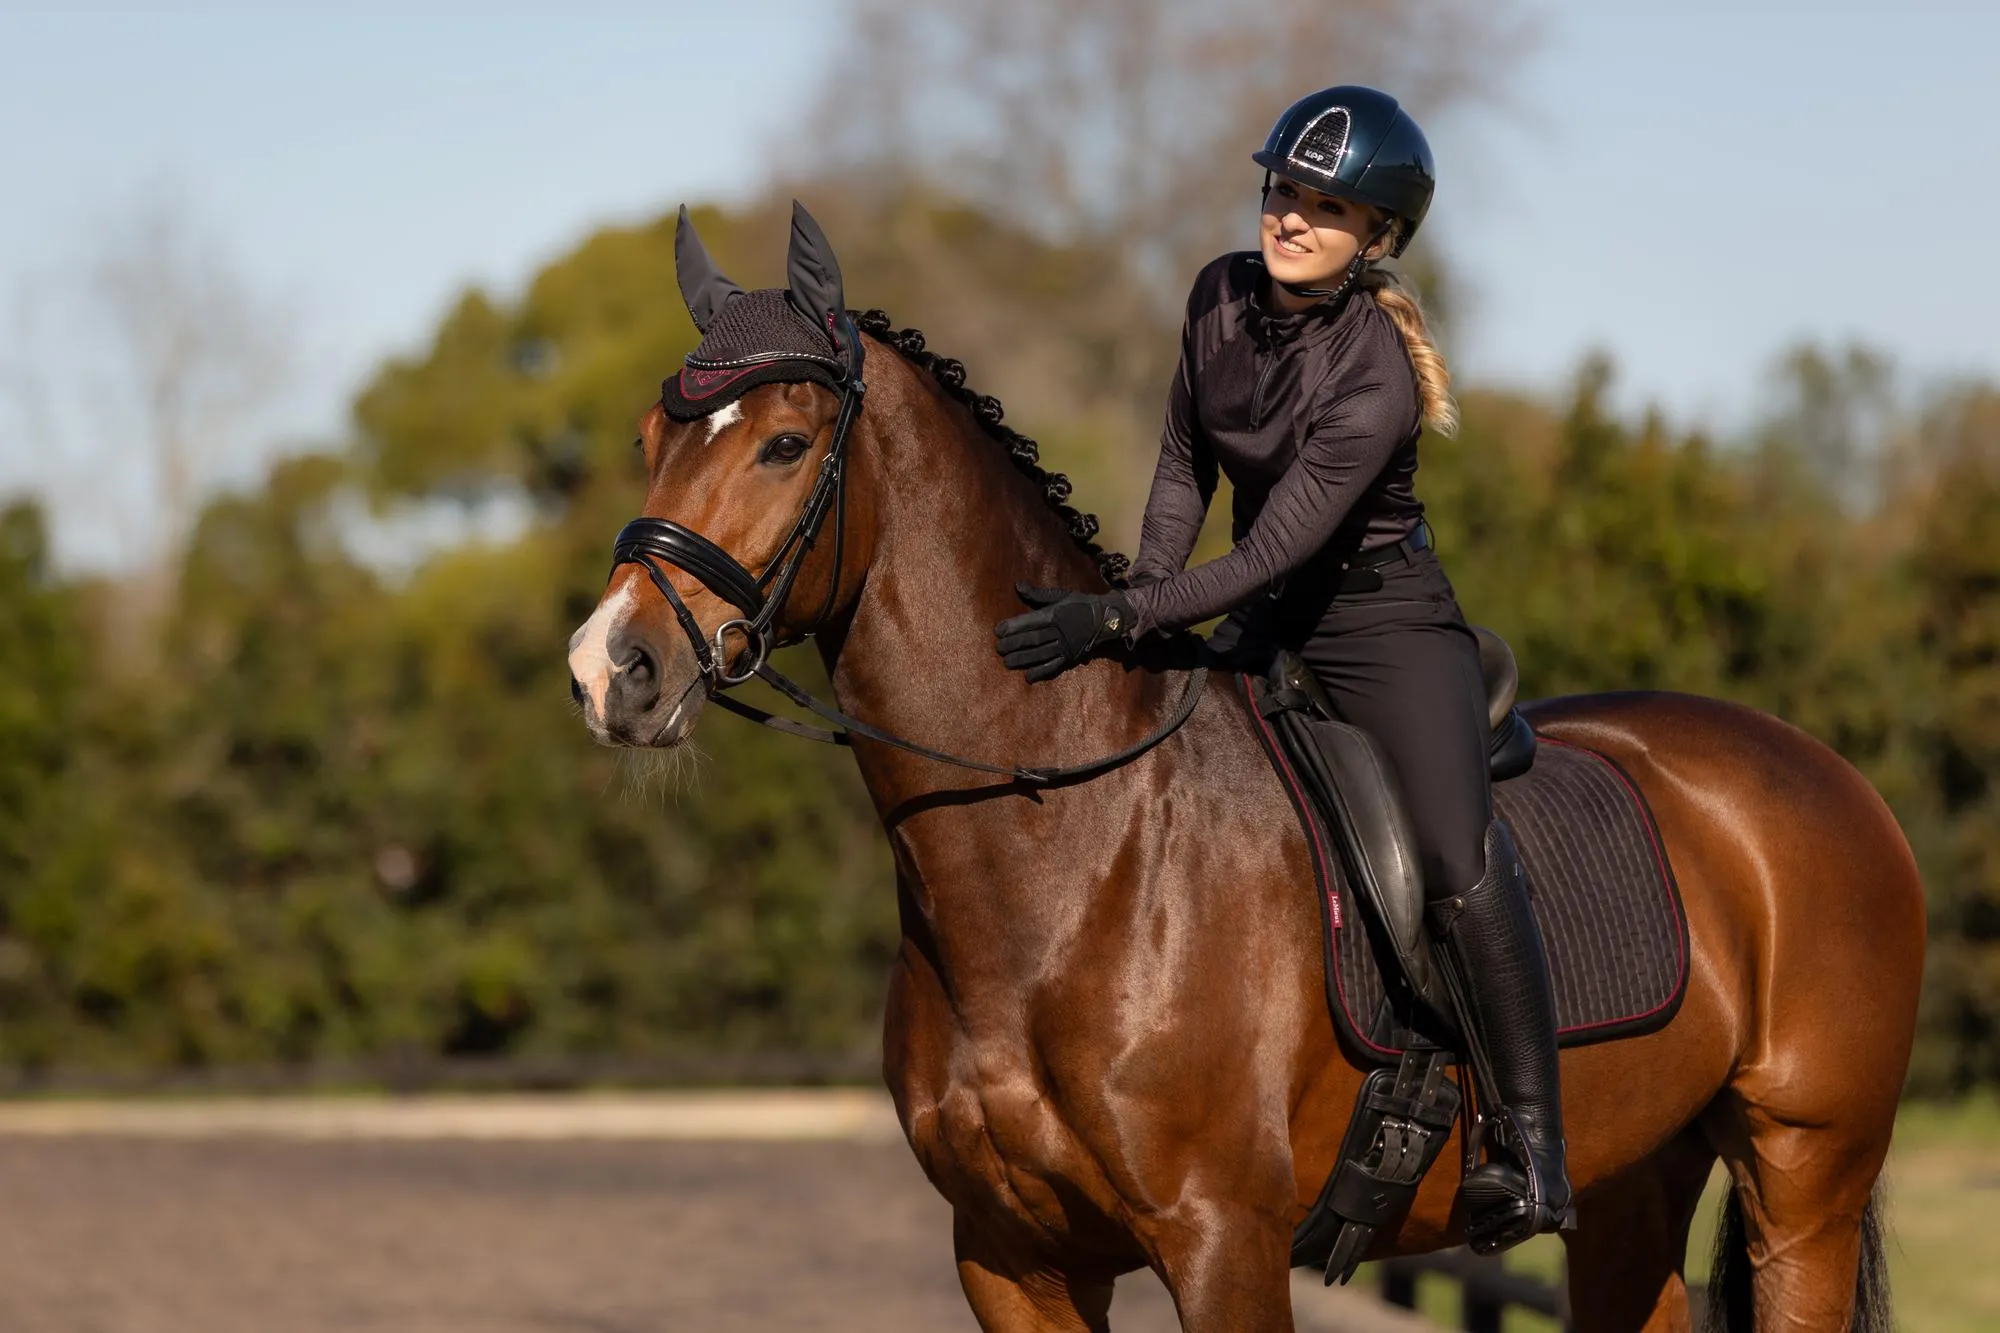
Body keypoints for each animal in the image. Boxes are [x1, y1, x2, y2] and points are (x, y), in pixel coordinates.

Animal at [564, 213, 1920, 1320]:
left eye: (786, 444)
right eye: (648, 435)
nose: (610, 669)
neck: (1070, 848)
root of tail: (1830, 777)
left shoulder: (1222, 1246)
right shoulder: (1011, 1259)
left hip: (1804, 1178)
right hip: (1635, 1184)